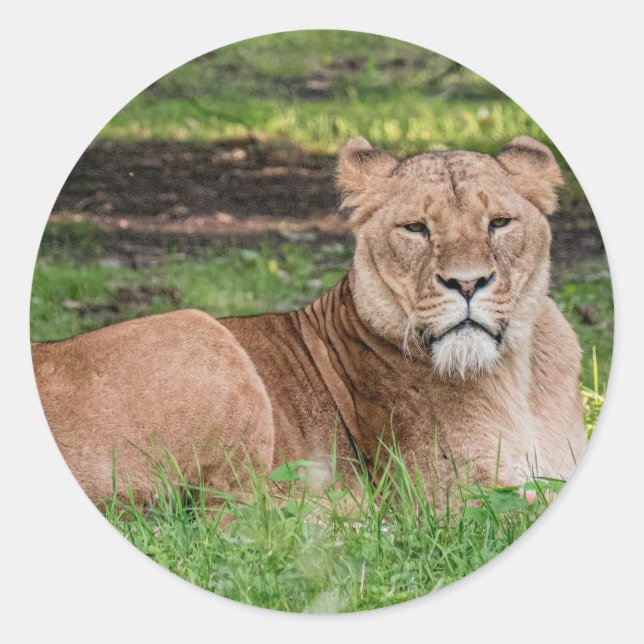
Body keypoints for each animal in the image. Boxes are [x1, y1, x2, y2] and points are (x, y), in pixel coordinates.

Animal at [32, 135, 586, 506]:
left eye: (500, 223)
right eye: (415, 229)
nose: (467, 284)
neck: (517, 371)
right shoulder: (448, 495)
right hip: (202, 333)